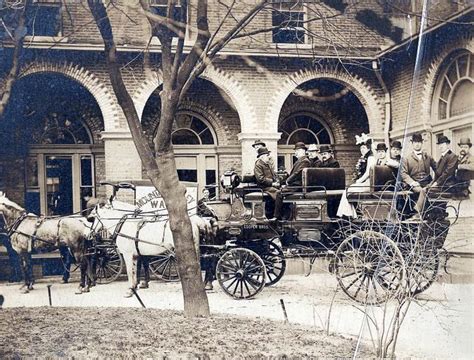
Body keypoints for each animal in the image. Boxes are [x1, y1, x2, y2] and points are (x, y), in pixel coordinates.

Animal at [88, 198, 216, 296]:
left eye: (92, 218)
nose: (89, 234)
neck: (126, 224)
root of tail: (197, 221)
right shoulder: (136, 255)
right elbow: (135, 270)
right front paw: (135, 287)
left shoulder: (128, 254)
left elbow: (130, 271)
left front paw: (130, 290)